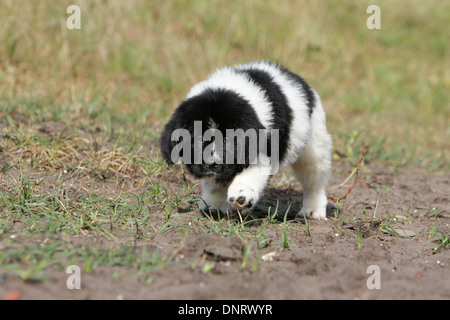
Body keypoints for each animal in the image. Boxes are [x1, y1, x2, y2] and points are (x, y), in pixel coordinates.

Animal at [160, 60, 332, 220]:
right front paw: (214, 205)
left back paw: (313, 210)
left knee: (314, 179)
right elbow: (213, 183)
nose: (212, 163)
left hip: (314, 142)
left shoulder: (259, 150)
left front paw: (241, 195)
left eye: (228, 140)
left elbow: (249, 174)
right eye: (198, 138)